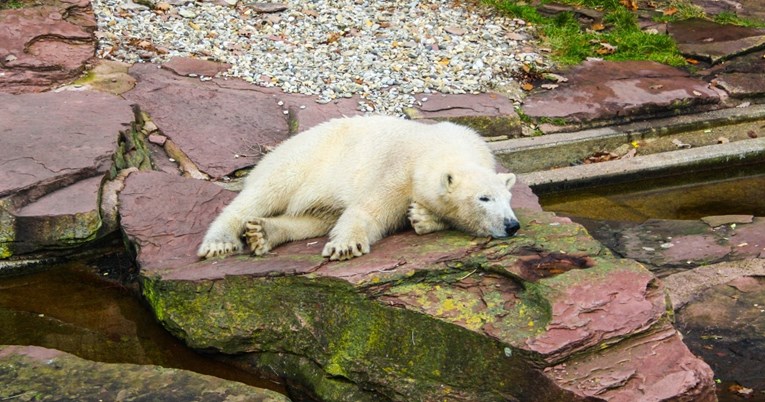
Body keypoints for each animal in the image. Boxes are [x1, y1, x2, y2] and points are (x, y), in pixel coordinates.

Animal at [197, 116, 520, 260]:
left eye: (507, 198)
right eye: (484, 198)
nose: (512, 225)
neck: (440, 147)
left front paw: (423, 217)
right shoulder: (397, 170)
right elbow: (368, 210)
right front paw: (346, 245)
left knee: (314, 219)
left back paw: (263, 233)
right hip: (299, 162)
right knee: (262, 194)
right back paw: (219, 242)